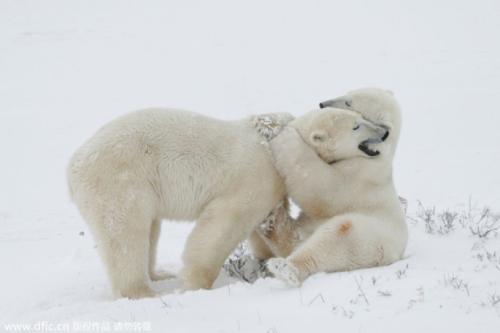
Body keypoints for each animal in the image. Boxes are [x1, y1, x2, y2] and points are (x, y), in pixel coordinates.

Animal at [260, 87, 408, 286]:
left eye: (349, 102)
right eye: (347, 93)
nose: (322, 103)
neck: (378, 155)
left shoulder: (358, 177)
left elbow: (319, 187)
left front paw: (285, 134)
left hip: (371, 240)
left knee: (338, 235)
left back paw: (286, 268)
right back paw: (271, 221)